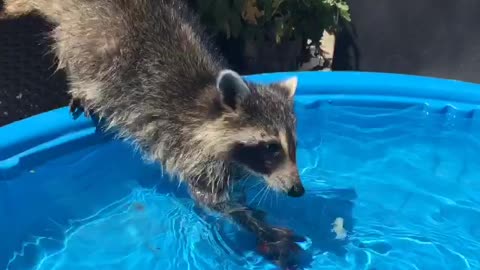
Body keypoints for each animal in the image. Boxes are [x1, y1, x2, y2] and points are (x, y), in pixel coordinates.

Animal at [3, 0, 308, 266]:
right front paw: (259, 226)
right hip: (90, 43)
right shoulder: (191, 151)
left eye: (293, 145)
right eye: (271, 147)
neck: (208, 107)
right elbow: (211, 200)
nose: (298, 191)